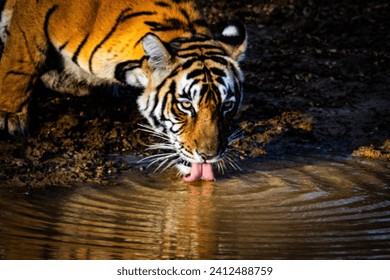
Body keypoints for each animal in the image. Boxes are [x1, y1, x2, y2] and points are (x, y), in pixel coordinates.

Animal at [0, 0, 247, 182]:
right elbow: (20, 60)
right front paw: (9, 115)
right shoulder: (33, 14)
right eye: (186, 105)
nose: (209, 156)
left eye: (226, 105)